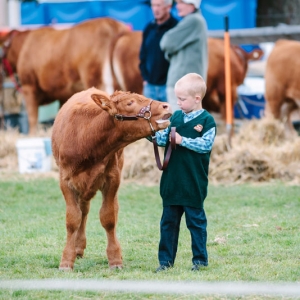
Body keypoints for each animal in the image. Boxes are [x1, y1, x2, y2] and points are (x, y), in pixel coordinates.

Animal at [52, 86, 171, 270]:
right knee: (83, 210)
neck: (87, 138)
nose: (166, 106)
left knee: (111, 210)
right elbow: (73, 219)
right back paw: (78, 247)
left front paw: (115, 259)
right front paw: (66, 261)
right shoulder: (65, 181)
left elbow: (108, 217)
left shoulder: (113, 179)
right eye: (130, 102)